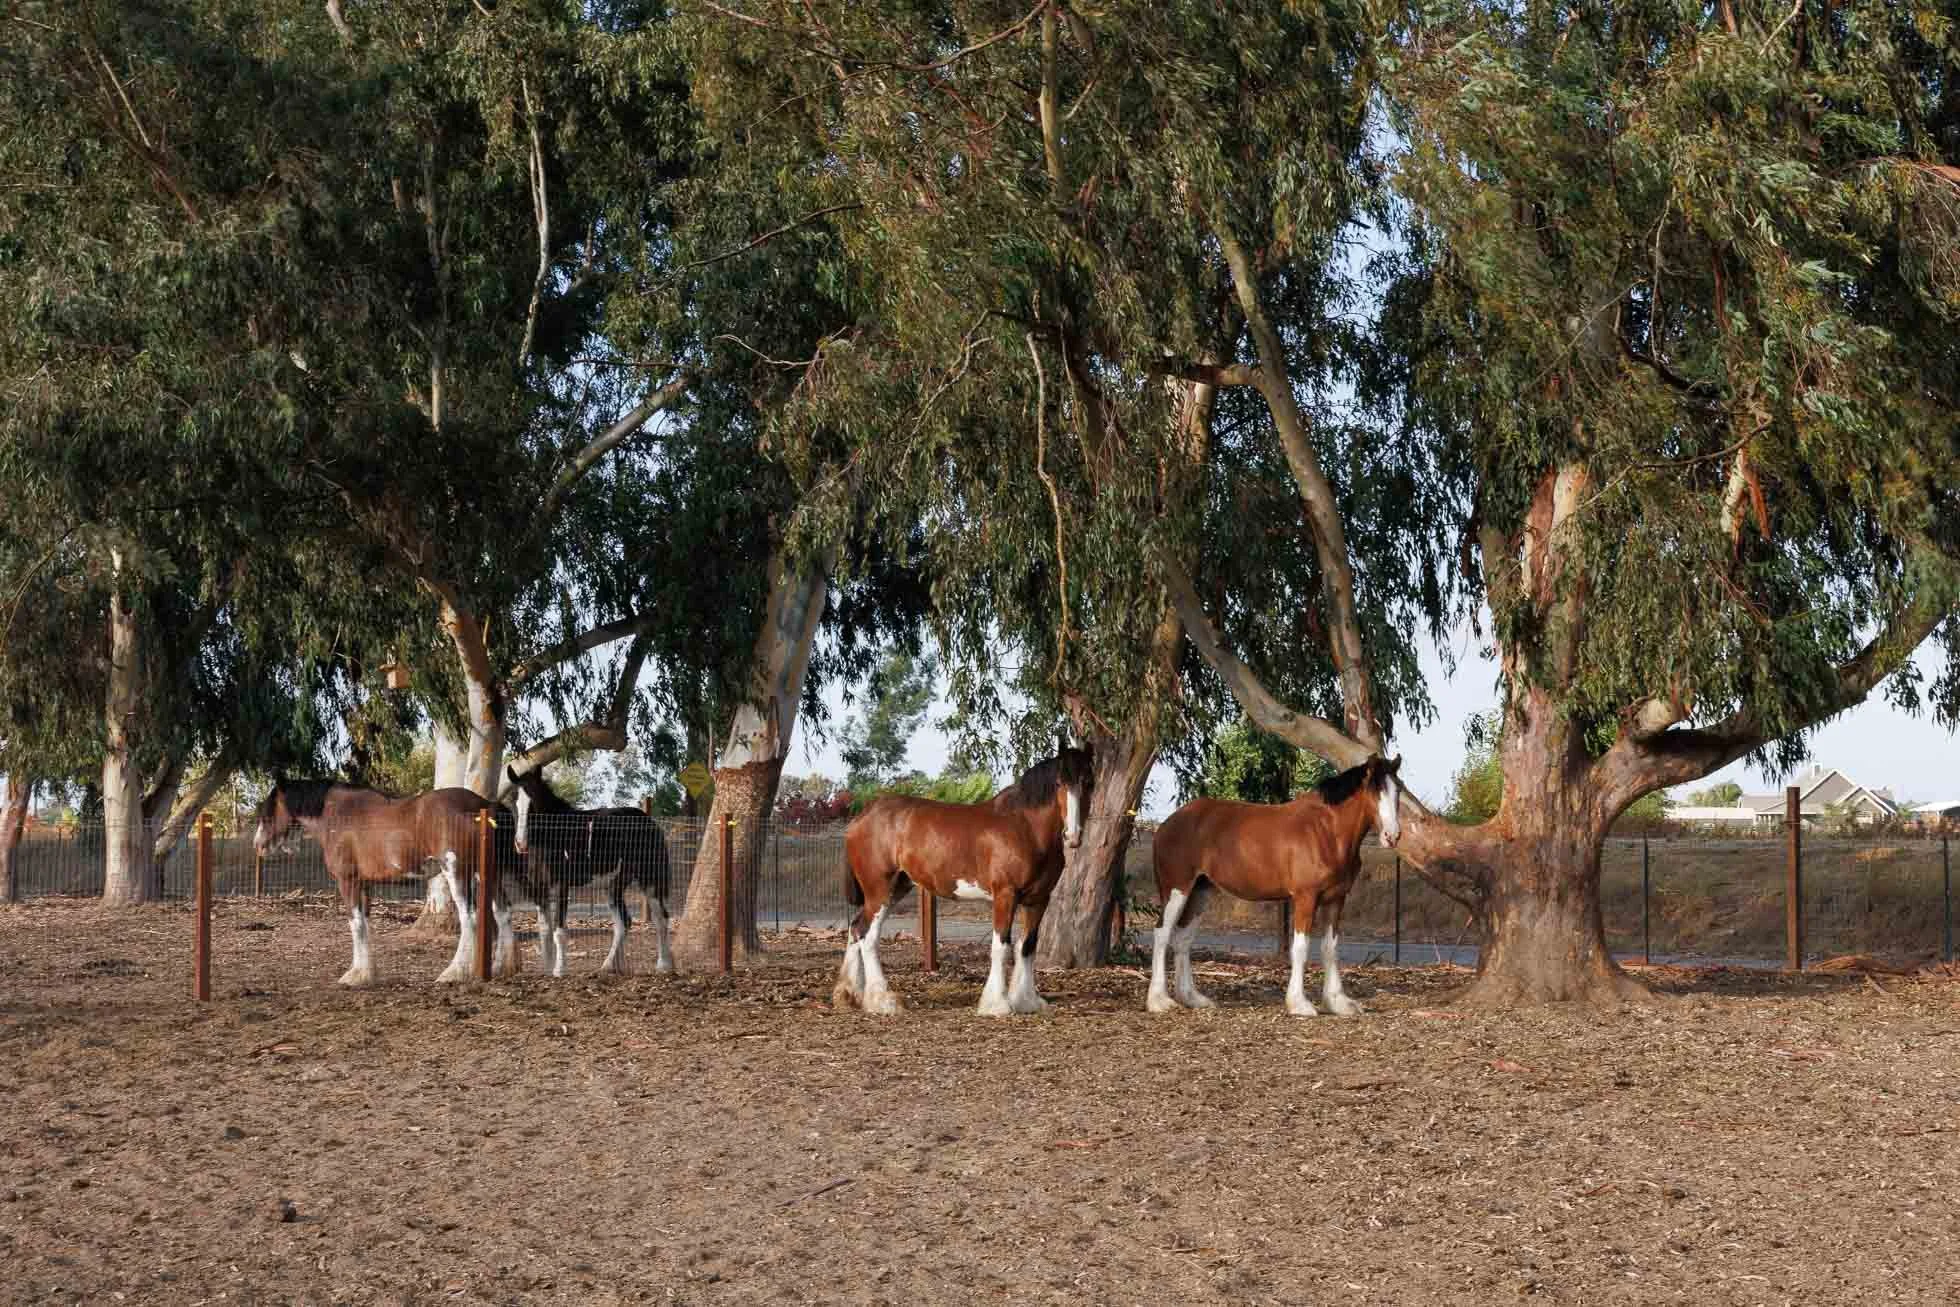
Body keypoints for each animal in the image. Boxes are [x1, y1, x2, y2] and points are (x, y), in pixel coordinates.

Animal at [252, 779, 517, 986]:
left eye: (267, 814)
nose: (258, 845)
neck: (337, 814)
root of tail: (485, 805)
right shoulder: (365, 884)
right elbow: (365, 924)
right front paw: (365, 972)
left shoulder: (348, 881)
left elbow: (355, 924)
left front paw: (354, 976)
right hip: (488, 873)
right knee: (502, 912)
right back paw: (501, 968)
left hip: (457, 872)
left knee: (469, 917)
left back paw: (454, 973)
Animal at [505, 765, 676, 977]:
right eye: (512, 802)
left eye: (534, 802)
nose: (521, 844)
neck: (554, 834)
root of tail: (650, 822)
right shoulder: (538, 886)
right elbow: (544, 929)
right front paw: (546, 969)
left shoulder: (562, 886)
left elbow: (559, 930)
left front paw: (559, 970)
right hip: (614, 885)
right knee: (623, 923)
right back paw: (609, 966)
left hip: (650, 879)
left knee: (661, 918)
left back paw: (664, 965)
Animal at [834, 745, 1094, 1016]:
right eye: (1059, 783)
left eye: (1089, 782)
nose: (1073, 835)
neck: (1025, 827)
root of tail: (862, 816)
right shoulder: (1005, 894)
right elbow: (1001, 946)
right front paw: (997, 1005)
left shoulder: (1038, 899)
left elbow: (1027, 946)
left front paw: (1027, 1002)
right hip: (880, 890)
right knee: (868, 935)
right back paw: (883, 1001)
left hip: (896, 888)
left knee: (856, 927)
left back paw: (849, 995)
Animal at [1148, 754, 1403, 1016]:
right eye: (1374, 791)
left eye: (1398, 790)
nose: (1392, 836)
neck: (1326, 832)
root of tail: (1167, 824)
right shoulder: (1305, 898)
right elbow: (1300, 948)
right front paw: (1299, 1003)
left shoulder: (1336, 898)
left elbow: (1330, 948)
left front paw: (1338, 1002)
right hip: (1177, 889)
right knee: (1162, 933)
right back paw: (1159, 1000)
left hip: (1200, 890)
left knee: (1183, 938)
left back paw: (1192, 998)